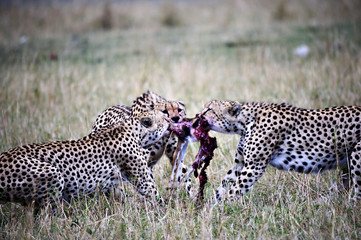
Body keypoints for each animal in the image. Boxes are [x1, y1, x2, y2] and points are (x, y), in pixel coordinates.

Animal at [197, 100, 360, 202]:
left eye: (209, 109)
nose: (198, 115)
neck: (244, 123)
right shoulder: (240, 163)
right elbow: (223, 186)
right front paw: (207, 207)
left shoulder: (254, 167)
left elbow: (234, 190)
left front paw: (221, 210)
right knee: (343, 185)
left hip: (356, 156)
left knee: (357, 195)